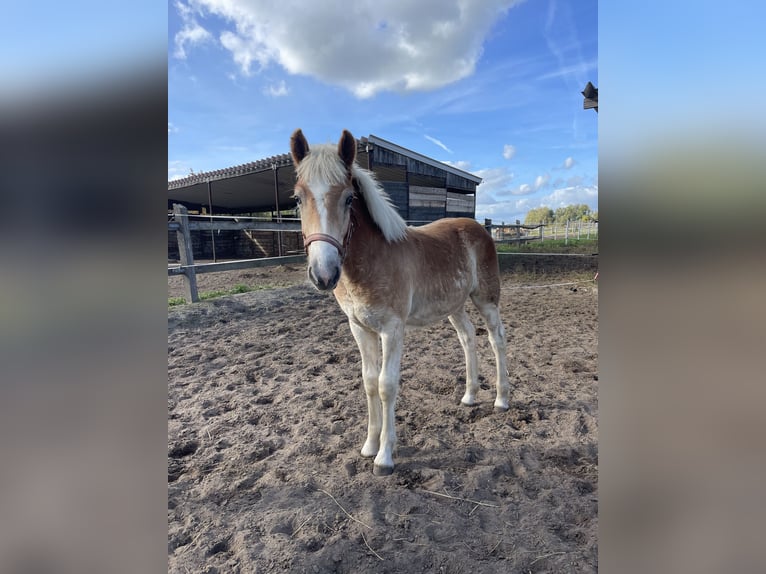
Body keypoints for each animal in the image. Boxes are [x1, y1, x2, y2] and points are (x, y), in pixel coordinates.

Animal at [292, 129, 512, 476]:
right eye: (298, 198)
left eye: (349, 198)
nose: (323, 273)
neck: (373, 260)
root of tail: (479, 227)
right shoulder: (360, 328)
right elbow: (369, 382)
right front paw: (369, 446)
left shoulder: (392, 329)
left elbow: (386, 385)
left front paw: (384, 457)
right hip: (453, 306)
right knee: (467, 338)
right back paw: (469, 395)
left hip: (486, 299)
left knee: (496, 339)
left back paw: (502, 399)